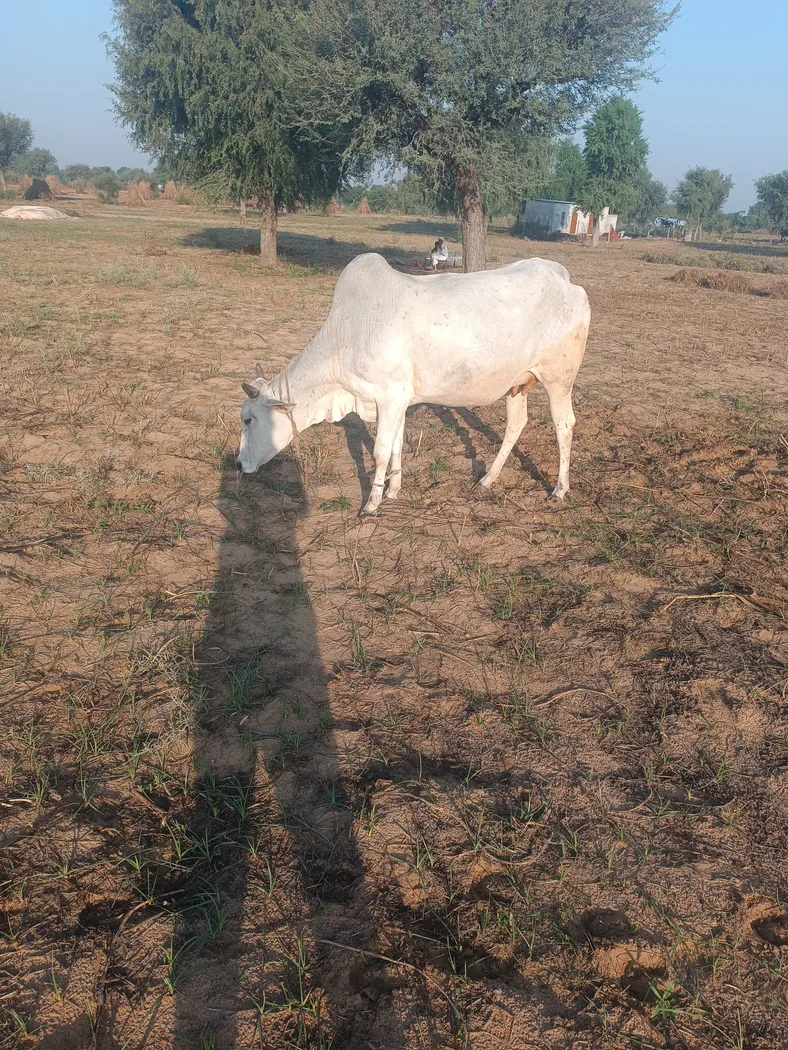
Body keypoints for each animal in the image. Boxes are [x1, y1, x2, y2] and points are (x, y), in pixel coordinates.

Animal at [236, 253, 590, 516]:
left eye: (249, 420)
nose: (239, 464)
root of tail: (564, 279)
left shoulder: (391, 397)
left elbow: (380, 451)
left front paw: (372, 504)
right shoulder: (398, 401)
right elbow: (396, 445)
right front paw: (393, 490)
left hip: (559, 378)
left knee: (564, 424)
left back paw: (559, 489)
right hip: (516, 384)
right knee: (516, 424)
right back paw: (487, 479)